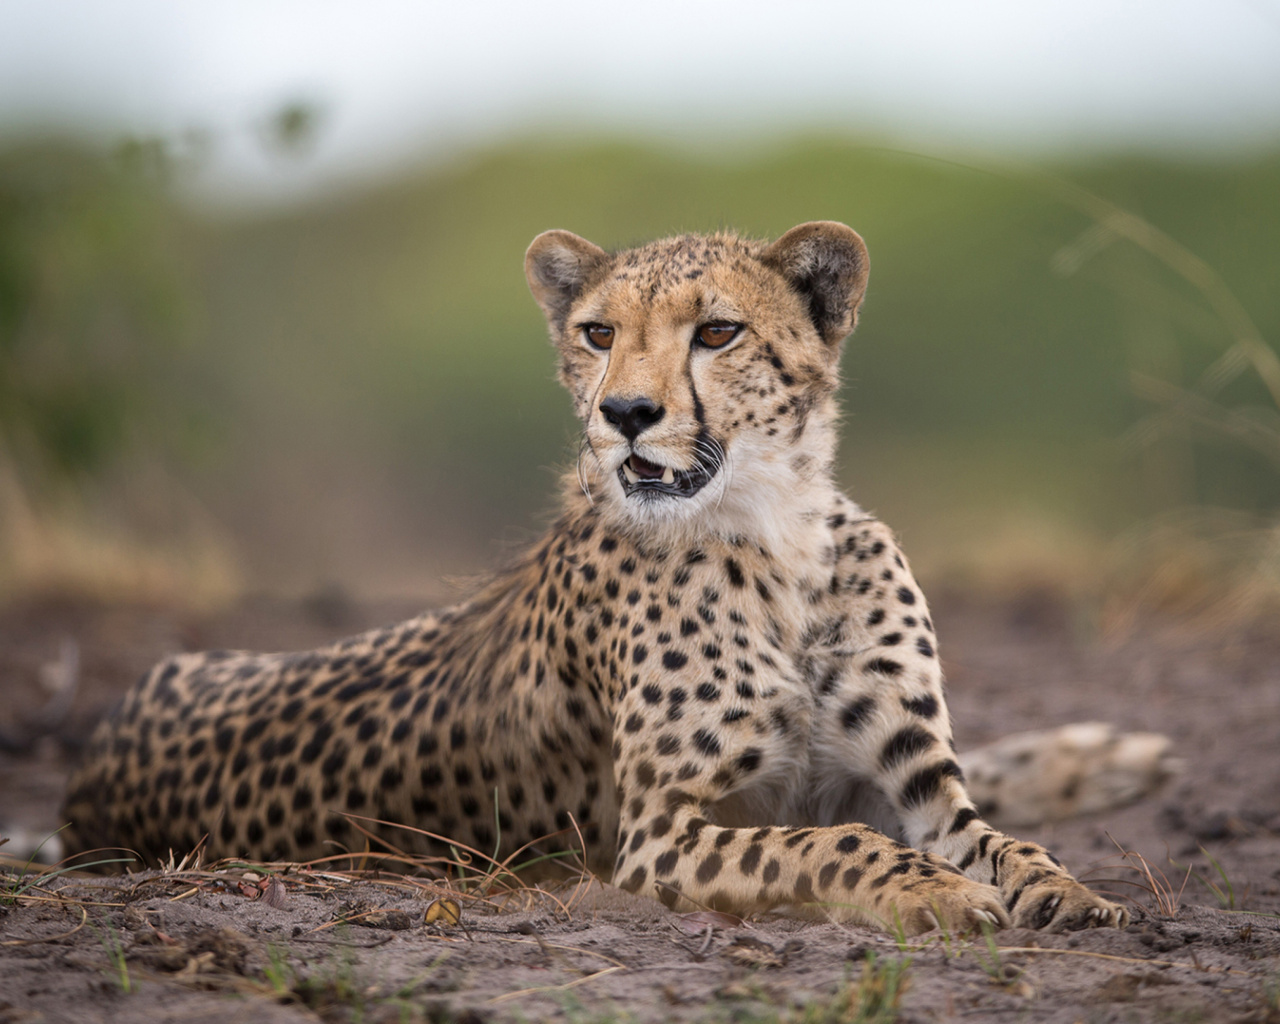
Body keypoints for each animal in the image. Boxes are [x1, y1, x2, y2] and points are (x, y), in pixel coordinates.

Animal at [60, 221, 1167, 936]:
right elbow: (836, 844)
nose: (626, 413)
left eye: (716, 332)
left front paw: (1069, 890)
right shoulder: (657, 835)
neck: (779, 536)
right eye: (597, 333)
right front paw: (935, 893)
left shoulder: (916, 781)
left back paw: (1109, 754)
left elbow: (1004, 841)